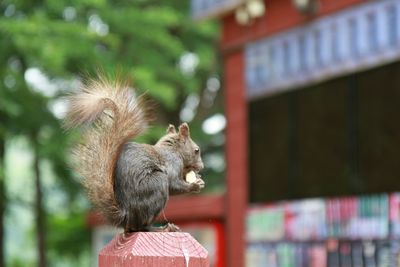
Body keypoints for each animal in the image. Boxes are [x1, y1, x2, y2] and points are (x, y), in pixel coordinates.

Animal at [65, 77, 206, 232]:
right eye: (196, 150)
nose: (202, 167)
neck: (173, 149)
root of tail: (126, 217)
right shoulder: (172, 162)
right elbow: (174, 184)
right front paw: (196, 185)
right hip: (156, 184)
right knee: (142, 227)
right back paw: (161, 228)